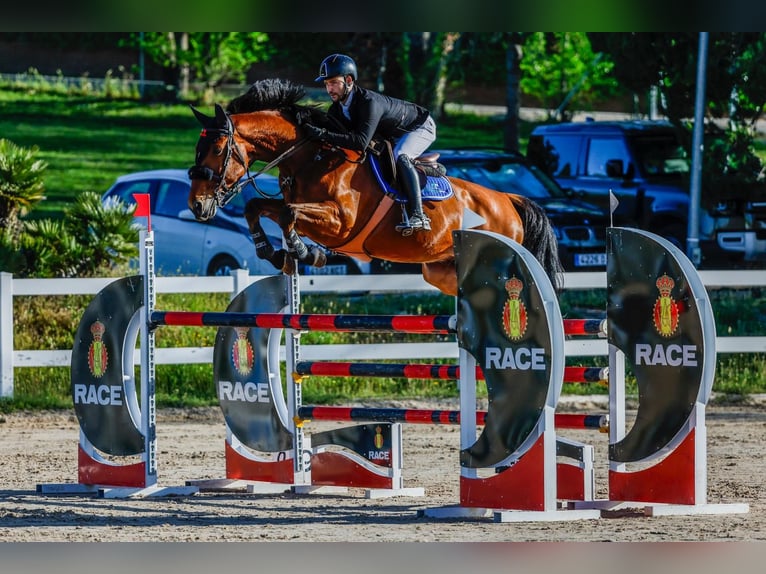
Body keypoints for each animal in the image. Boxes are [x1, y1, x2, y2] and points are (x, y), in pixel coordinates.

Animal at [187, 78, 563, 297]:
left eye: (217, 150)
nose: (196, 206)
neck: (312, 156)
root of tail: (508, 199)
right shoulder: (298, 208)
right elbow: (259, 208)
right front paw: (274, 252)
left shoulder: (339, 222)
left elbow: (289, 214)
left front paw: (302, 251)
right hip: (439, 271)